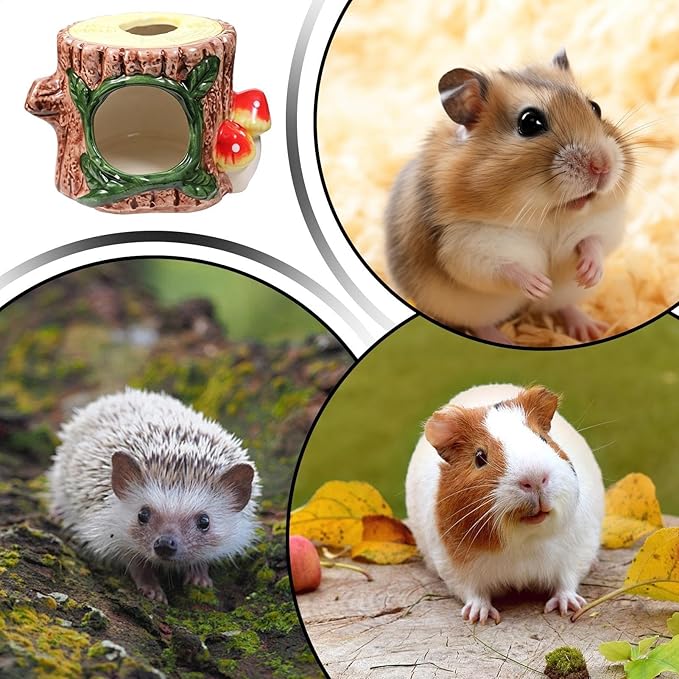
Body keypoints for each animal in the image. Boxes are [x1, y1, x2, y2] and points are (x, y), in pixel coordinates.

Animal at [385, 50, 633, 345]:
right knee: (480, 325)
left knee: (563, 306)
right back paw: (506, 339)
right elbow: (505, 268)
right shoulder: (466, 245)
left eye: (595, 107)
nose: (602, 166)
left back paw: (592, 328)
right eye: (529, 122)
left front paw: (589, 274)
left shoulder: (604, 222)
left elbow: (594, 241)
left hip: (566, 293)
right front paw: (539, 284)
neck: (548, 213)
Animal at [405, 384, 604, 623]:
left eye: (543, 439)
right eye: (480, 457)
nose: (535, 479)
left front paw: (568, 608)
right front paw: (478, 617)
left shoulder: (576, 551)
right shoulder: (455, 568)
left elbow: (567, 582)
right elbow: (474, 593)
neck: (525, 539)